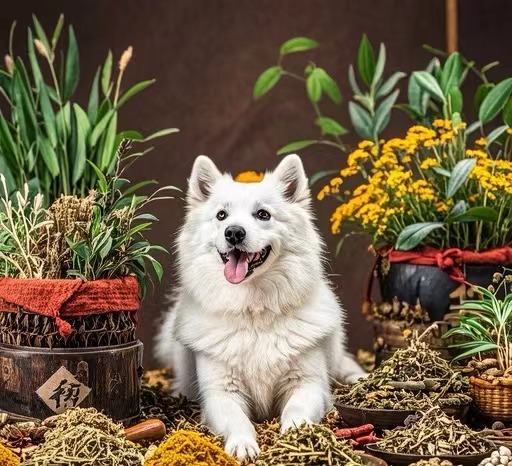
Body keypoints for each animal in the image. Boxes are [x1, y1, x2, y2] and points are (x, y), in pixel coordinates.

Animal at [155, 154, 364, 458]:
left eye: (263, 214)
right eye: (221, 215)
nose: (233, 233)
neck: (254, 311)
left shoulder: (308, 383)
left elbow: (296, 410)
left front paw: (296, 435)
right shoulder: (220, 392)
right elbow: (237, 419)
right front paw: (243, 444)